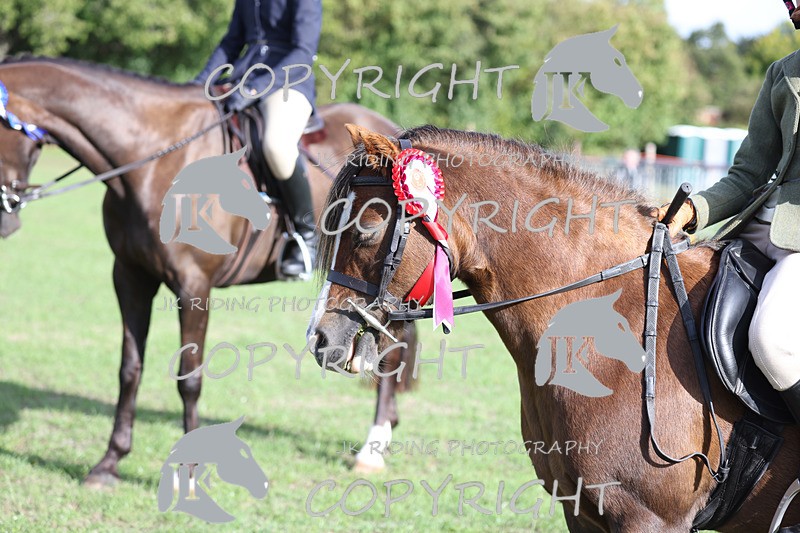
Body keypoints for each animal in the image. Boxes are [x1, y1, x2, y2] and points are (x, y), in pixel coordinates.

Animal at [0, 56, 417, 485]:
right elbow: (129, 368)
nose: (6, 222)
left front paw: (190, 471)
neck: (156, 160)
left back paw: (371, 448)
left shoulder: (194, 287)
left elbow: (190, 377)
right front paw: (110, 462)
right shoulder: (130, 277)